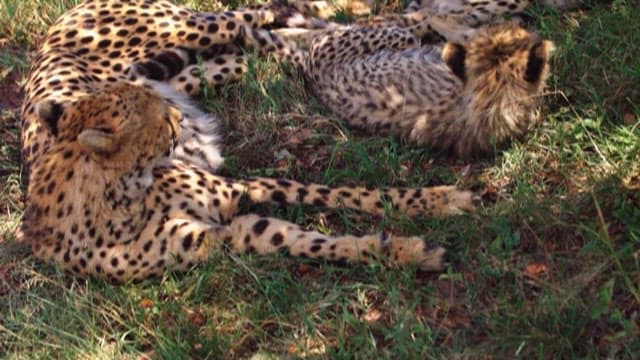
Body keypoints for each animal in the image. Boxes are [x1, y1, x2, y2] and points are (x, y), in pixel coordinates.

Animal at [21, 0, 476, 282]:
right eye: (156, 116)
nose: (177, 117)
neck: (122, 199)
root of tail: (63, 18)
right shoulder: (233, 235)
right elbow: (313, 242)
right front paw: (402, 252)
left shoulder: (239, 187)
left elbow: (350, 193)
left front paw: (438, 200)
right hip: (214, 64)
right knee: (267, 40)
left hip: (190, 25)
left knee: (258, 14)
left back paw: (411, 20)